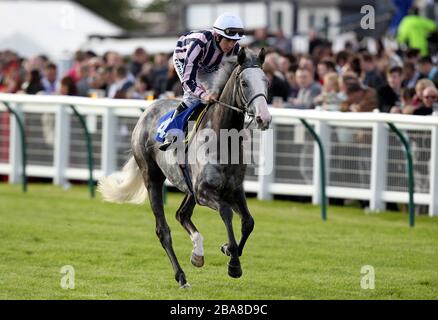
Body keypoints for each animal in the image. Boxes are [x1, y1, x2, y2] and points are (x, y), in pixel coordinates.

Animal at [99, 47, 270, 288]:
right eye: (244, 83)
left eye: (266, 81)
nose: (265, 118)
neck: (222, 138)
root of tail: (146, 112)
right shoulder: (204, 192)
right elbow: (226, 213)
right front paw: (234, 264)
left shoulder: (234, 189)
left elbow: (248, 222)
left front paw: (228, 249)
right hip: (153, 178)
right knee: (163, 230)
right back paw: (181, 276)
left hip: (188, 186)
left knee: (182, 214)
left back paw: (197, 254)